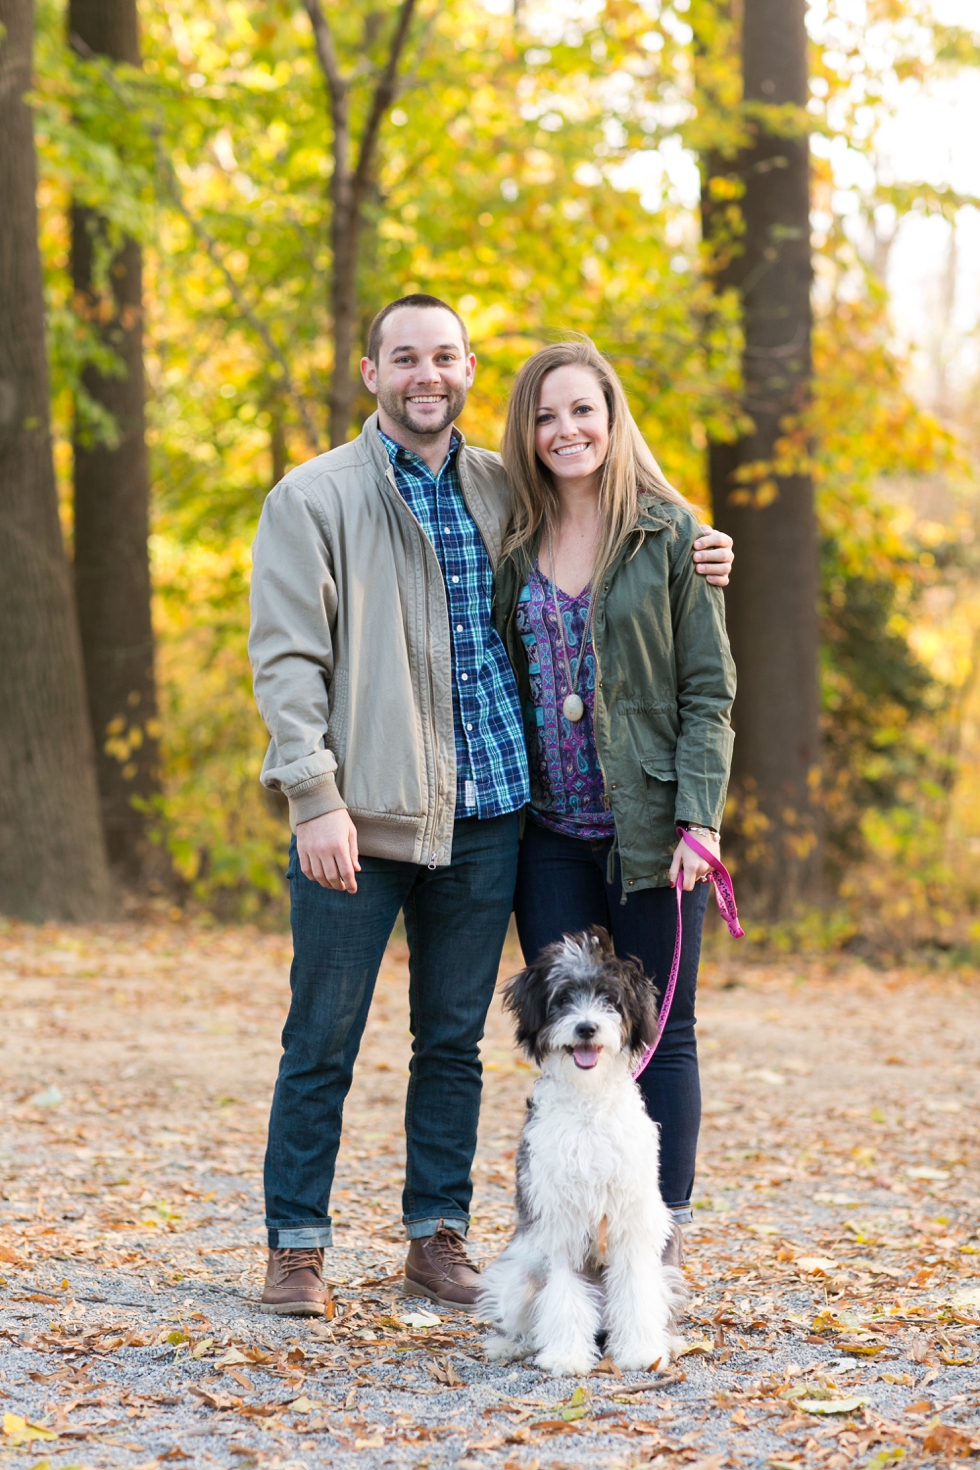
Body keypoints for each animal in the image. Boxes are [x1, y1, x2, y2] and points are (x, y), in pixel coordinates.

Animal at [481, 929, 690, 1375]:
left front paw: (641, 1351)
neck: (588, 1107)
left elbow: (636, 1294)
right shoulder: (560, 1224)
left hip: (665, 1275)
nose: (586, 1028)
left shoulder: (631, 1225)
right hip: (518, 1276)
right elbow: (564, 1296)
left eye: (610, 998)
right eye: (562, 998)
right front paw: (565, 1356)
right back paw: (511, 1345)